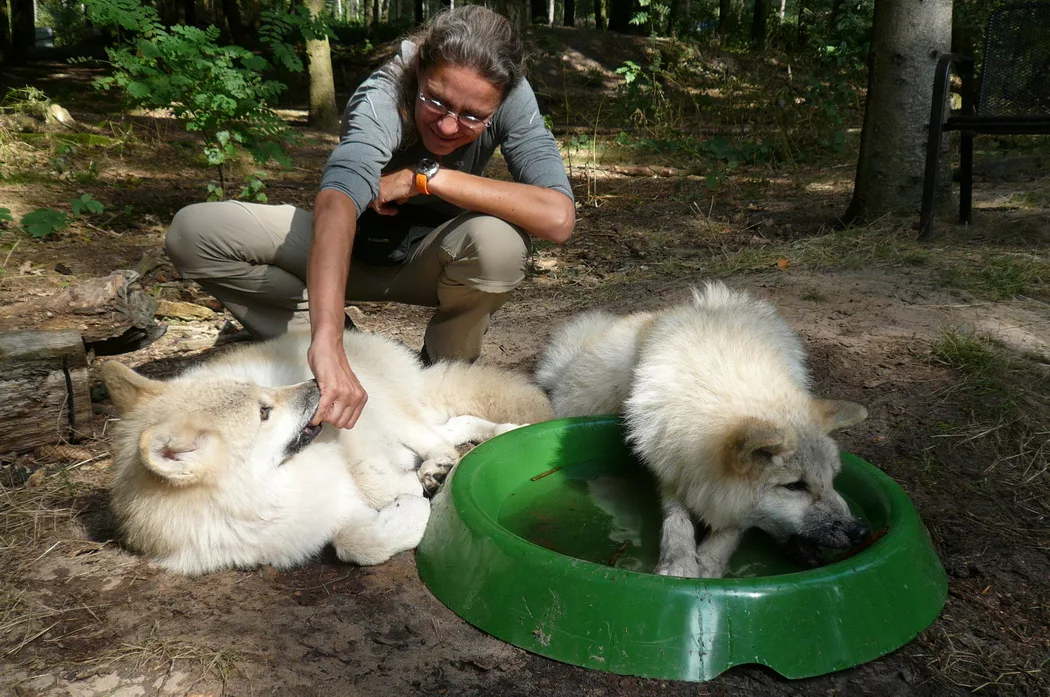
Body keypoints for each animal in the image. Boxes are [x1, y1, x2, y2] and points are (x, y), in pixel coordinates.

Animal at [102, 329, 554, 575]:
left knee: (438, 435)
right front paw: (412, 509)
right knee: (452, 424)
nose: (318, 383)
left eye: (263, 397)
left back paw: (455, 459)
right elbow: (357, 543)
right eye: (263, 412)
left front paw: (416, 498)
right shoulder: (327, 517)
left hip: (389, 410)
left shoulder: (351, 435)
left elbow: (375, 484)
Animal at [537, 281, 865, 579]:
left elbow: (731, 528)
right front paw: (679, 562)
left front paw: (708, 562)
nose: (860, 530)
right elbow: (676, 518)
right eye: (795, 486)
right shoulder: (671, 464)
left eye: (832, 479)